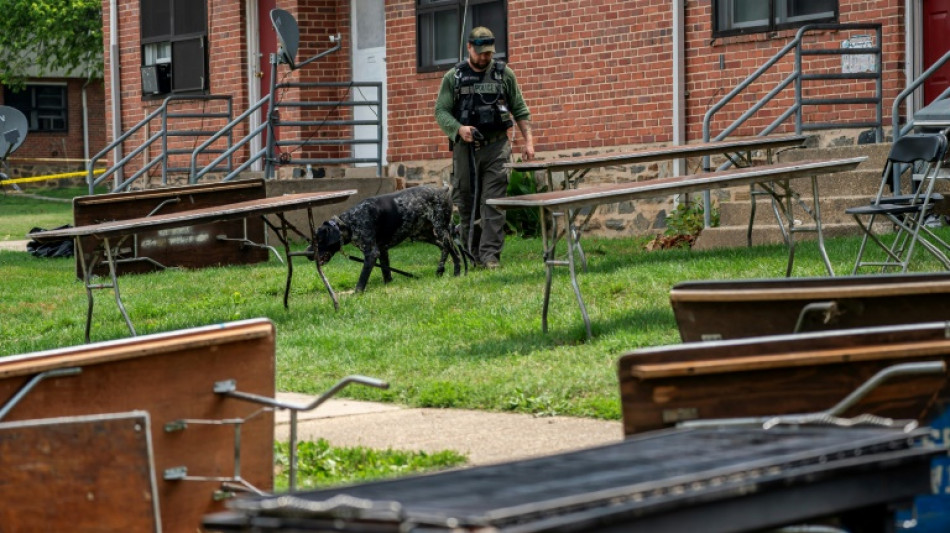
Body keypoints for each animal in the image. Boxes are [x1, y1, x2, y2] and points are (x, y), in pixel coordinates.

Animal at [310, 184, 462, 290]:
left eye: (319, 240)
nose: (307, 253)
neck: (349, 222)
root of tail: (443, 190)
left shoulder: (371, 253)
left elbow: (362, 280)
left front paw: (356, 293)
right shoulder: (382, 251)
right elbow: (386, 272)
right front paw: (388, 286)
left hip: (440, 229)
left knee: (450, 249)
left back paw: (448, 270)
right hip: (423, 235)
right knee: (448, 249)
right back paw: (449, 271)